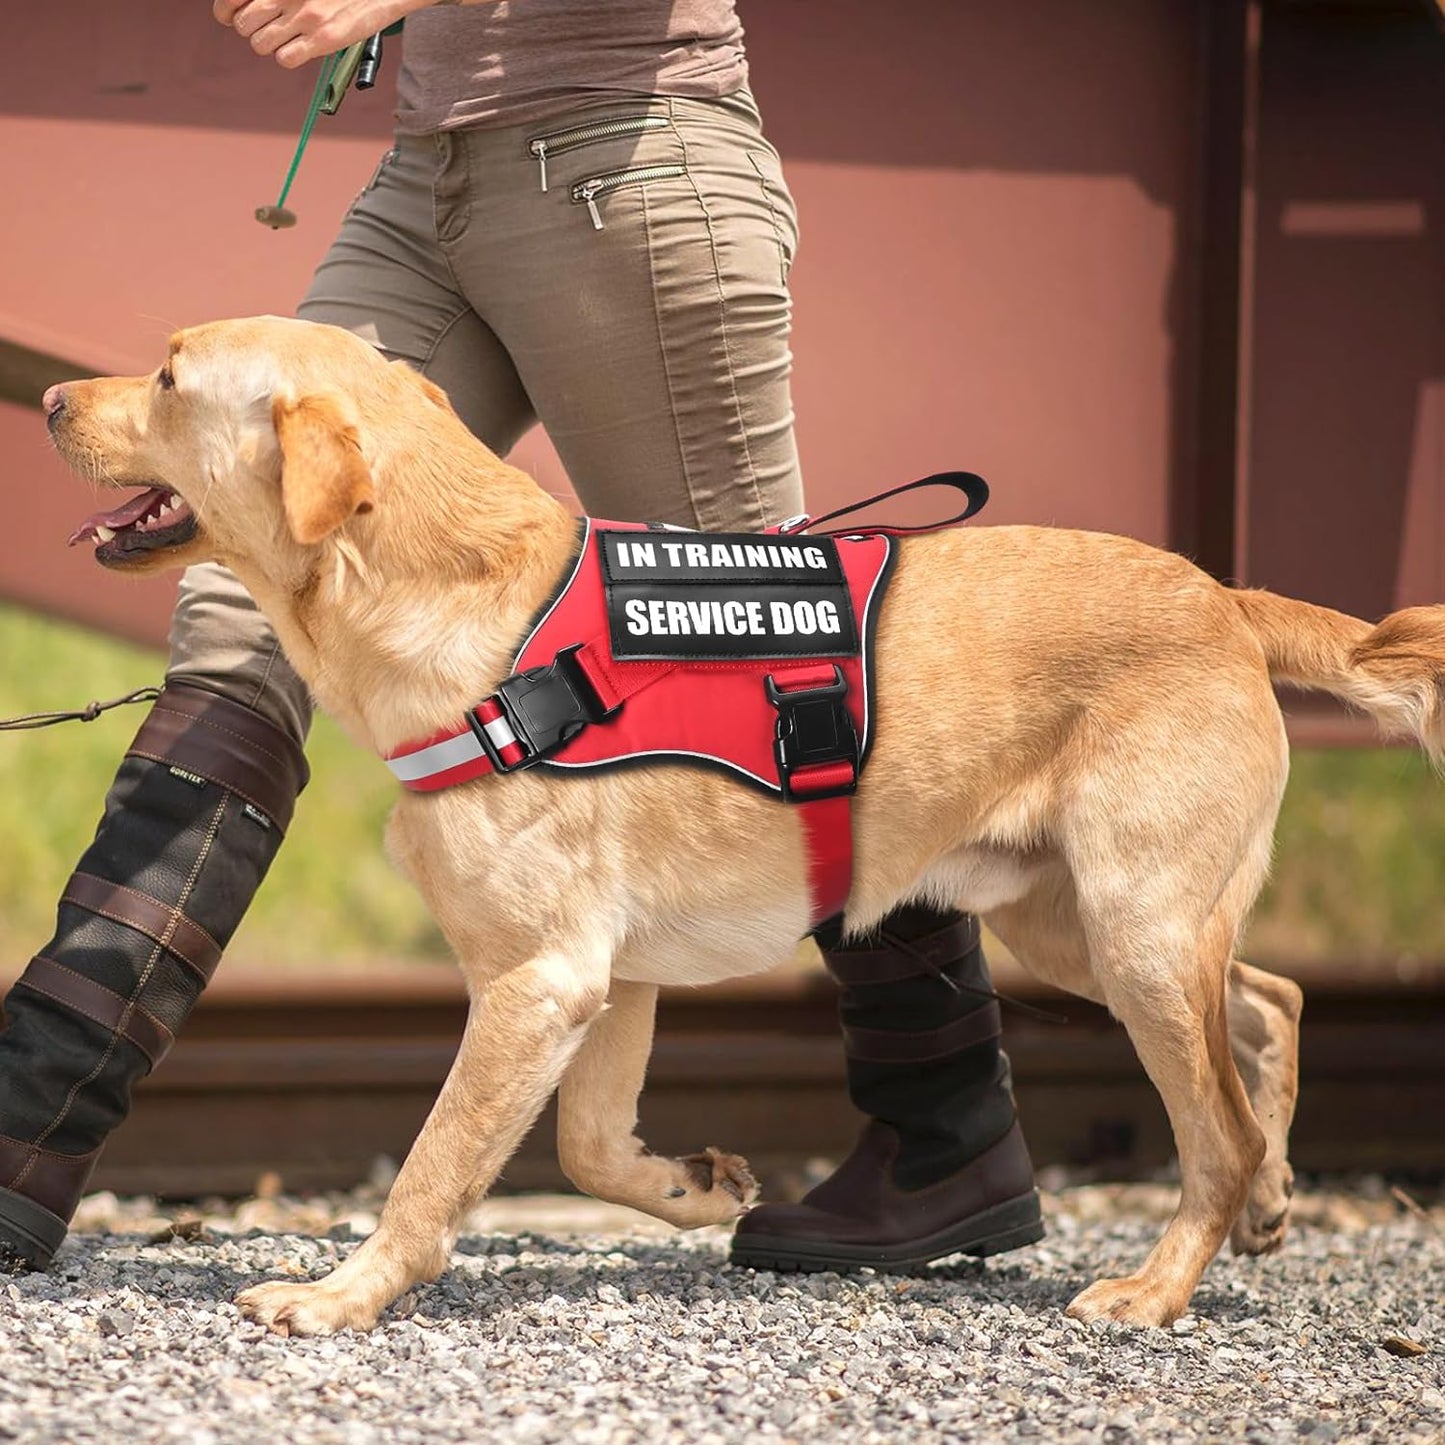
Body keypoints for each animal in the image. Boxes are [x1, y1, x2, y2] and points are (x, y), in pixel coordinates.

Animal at [48, 313, 1445, 1329]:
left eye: (167, 375)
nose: (54, 399)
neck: (473, 613)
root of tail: (1223, 594)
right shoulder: (606, 979)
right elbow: (588, 1146)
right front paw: (693, 1184)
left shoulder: (538, 980)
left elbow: (432, 1165)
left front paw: (339, 1295)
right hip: (1074, 923)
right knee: (1269, 1002)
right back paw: (1270, 1195)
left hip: (1132, 926)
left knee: (1214, 1124)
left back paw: (1156, 1284)